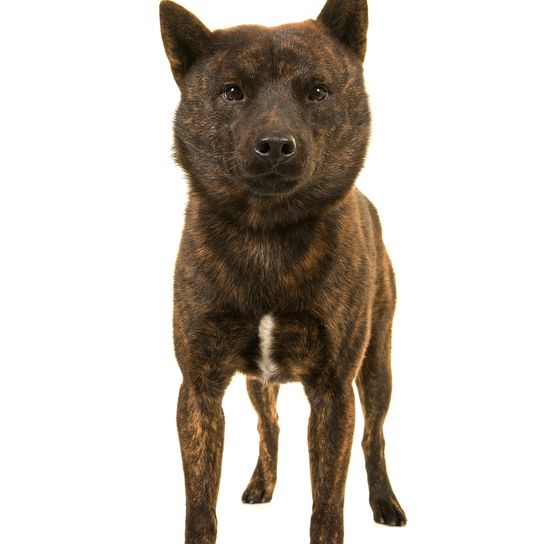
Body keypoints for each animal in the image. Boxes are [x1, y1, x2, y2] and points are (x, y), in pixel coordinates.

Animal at [159, 0, 406, 540]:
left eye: (317, 90)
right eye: (232, 91)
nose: (275, 144)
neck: (267, 235)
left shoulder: (335, 392)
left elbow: (328, 505)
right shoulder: (199, 389)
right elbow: (199, 505)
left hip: (377, 366)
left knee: (374, 437)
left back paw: (386, 503)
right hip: (258, 382)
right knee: (267, 424)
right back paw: (261, 483)